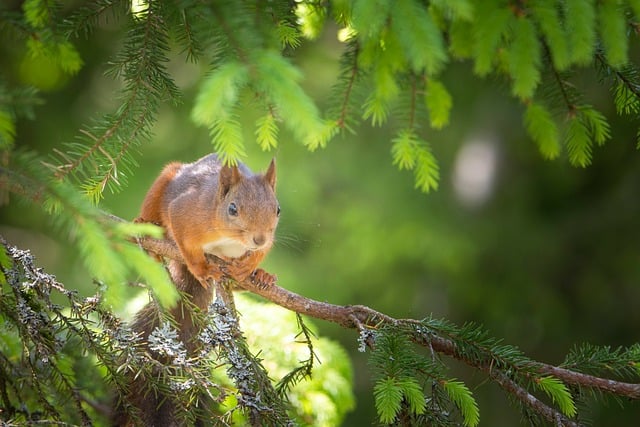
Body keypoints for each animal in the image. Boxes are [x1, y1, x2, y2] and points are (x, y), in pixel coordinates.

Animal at [113, 154, 280, 426]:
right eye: (232, 209)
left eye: (277, 209)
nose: (259, 239)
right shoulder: (186, 212)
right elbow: (187, 246)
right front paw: (200, 269)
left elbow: (261, 252)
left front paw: (251, 267)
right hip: (165, 181)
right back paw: (145, 227)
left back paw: (261, 276)